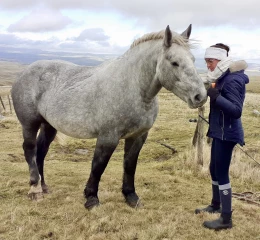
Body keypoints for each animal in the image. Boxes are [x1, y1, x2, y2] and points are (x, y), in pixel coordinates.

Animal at [12, 23, 207, 208]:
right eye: (174, 62)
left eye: (193, 59)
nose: (200, 96)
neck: (132, 87)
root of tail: (24, 72)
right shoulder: (108, 137)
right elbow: (98, 166)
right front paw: (91, 198)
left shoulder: (138, 136)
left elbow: (129, 165)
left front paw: (131, 196)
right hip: (29, 124)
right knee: (30, 149)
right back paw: (35, 189)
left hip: (49, 125)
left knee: (41, 151)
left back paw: (44, 186)